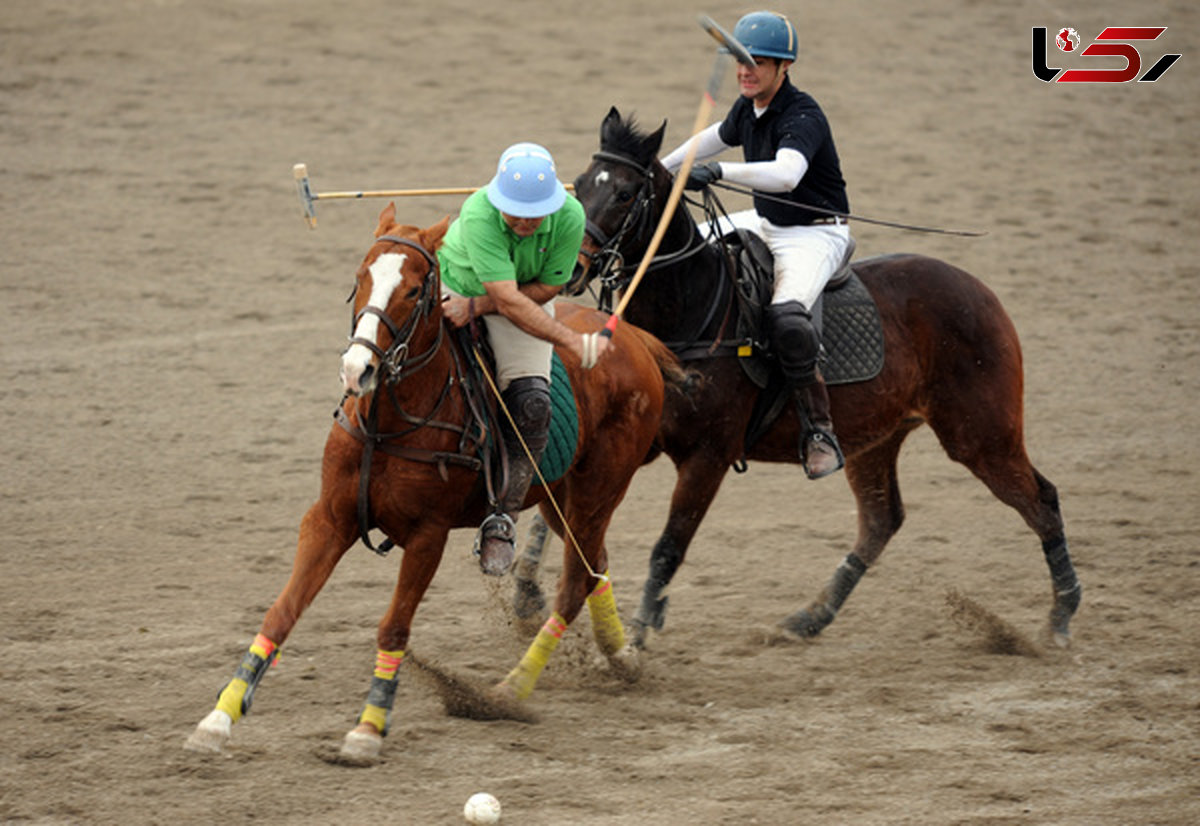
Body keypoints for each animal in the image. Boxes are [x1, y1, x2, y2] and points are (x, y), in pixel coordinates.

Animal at [182, 202, 681, 758]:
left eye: (414, 290)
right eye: (359, 277)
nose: (357, 370)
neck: (388, 423)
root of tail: (635, 339)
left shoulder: (428, 535)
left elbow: (394, 627)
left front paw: (368, 729)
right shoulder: (328, 518)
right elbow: (281, 611)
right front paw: (218, 719)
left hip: (600, 489)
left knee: (575, 581)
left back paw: (506, 692)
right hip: (559, 495)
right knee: (594, 564)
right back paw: (621, 656)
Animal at [511, 108, 1084, 653]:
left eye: (626, 193)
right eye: (581, 185)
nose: (569, 269)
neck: (690, 310)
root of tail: (981, 289)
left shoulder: (708, 456)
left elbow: (668, 546)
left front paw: (639, 631)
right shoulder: (631, 436)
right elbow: (558, 517)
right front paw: (526, 595)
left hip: (981, 435)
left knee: (1042, 500)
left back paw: (1060, 618)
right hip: (876, 438)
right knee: (882, 520)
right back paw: (808, 619)